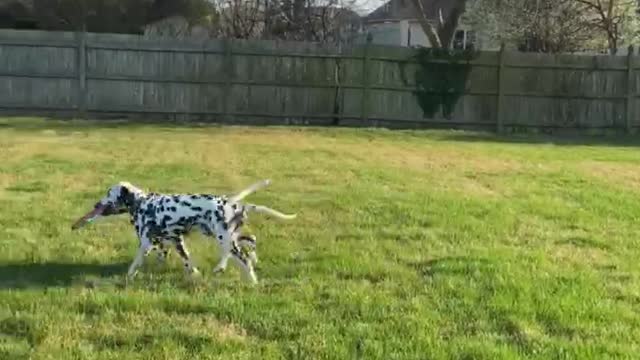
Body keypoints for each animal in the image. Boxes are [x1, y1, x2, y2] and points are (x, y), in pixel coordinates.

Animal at [71, 180, 296, 284]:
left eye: (109, 193)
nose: (96, 204)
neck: (142, 203)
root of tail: (232, 203)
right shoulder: (171, 242)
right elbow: (185, 262)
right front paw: (193, 274)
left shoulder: (145, 243)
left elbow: (134, 265)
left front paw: (129, 276)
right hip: (228, 237)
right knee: (250, 243)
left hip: (224, 239)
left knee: (244, 259)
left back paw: (249, 280)